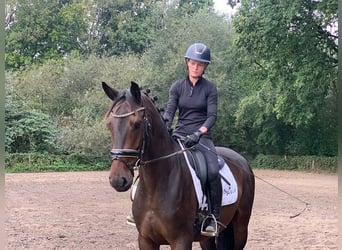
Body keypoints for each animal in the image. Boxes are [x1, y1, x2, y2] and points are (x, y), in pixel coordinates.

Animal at [101, 81, 254, 249]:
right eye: (109, 124)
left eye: (137, 124)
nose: (117, 179)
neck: (156, 185)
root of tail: (241, 160)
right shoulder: (145, 240)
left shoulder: (181, 240)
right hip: (207, 238)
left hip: (240, 227)